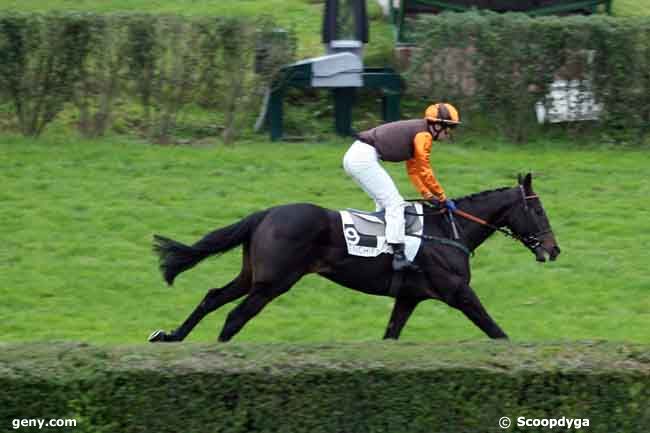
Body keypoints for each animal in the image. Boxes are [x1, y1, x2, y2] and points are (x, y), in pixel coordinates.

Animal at [147, 170, 556, 342]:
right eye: (538, 210)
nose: (554, 249)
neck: (447, 232)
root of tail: (265, 214)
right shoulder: (459, 292)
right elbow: (495, 330)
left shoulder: (408, 297)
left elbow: (391, 334)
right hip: (273, 282)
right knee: (234, 316)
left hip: (254, 275)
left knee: (212, 297)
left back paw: (170, 336)